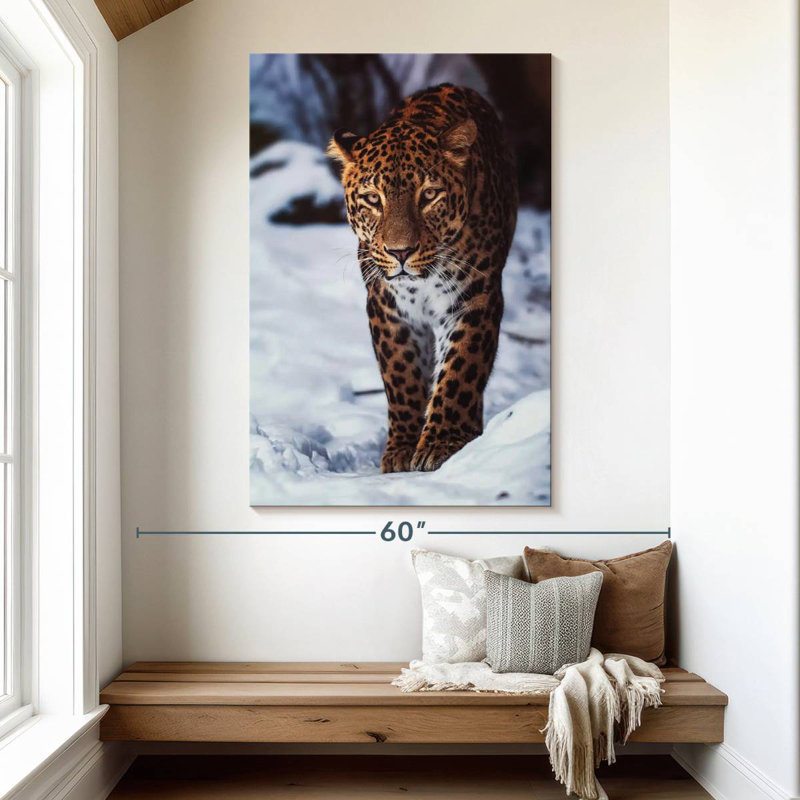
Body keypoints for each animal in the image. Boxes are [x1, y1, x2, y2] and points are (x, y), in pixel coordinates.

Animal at [328, 83, 518, 473]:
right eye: (373, 199)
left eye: (429, 195)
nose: (400, 252)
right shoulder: (386, 305)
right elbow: (401, 376)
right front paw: (401, 449)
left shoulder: (474, 298)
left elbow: (461, 369)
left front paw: (443, 442)